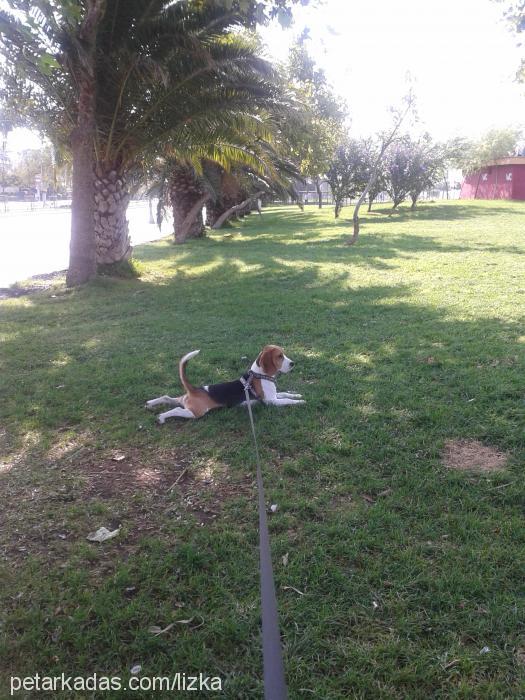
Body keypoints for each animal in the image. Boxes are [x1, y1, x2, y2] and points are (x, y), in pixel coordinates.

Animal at [145, 344, 304, 424]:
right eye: (279, 356)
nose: (293, 363)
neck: (260, 374)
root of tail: (194, 390)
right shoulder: (271, 401)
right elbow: (287, 400)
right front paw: (300, 402)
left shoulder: (274, 395)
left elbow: (285, 393)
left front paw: (297, 394)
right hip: (196, 412)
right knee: (176, 410)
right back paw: (161, 417)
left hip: (182, 400)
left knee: (167, 397)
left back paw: (150, 404)